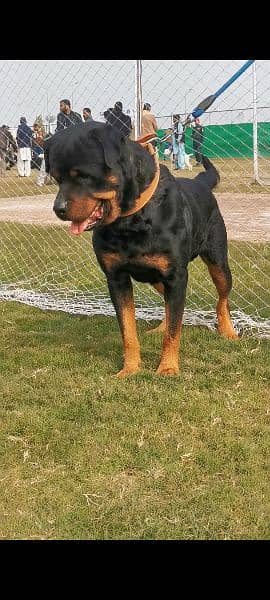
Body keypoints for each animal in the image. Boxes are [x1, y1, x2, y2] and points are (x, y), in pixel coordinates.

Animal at [44, 119, 238, 378]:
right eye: (56, 179)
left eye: (83, 176)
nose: (59, 209)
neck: (130, 219)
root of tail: (199, 182)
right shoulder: (116, 278)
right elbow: (128, 330)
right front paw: (130, 368)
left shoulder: (176, 276)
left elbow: (174, 330)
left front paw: (167, 367)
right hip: (156, 277)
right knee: (168, 304)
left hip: (217, 262)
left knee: (222, 299)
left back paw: (227, 330)